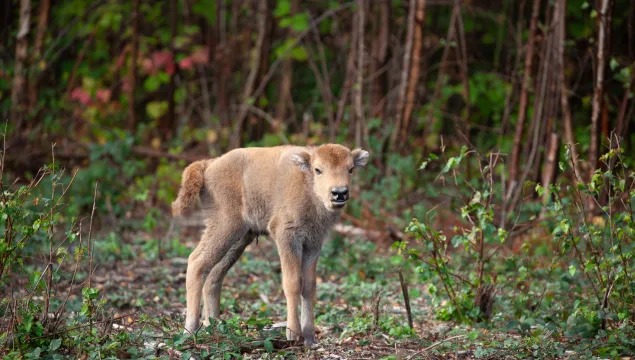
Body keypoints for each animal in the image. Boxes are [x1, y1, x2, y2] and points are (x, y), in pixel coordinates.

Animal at [171, 143, 370, 346]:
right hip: (225, 226)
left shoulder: (314, 243)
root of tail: (209, 164)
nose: (339, 193)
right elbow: (293, 282)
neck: (307, 183)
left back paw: (216, 327)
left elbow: (309, 286)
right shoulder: (286, 235)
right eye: (318, 169)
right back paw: (190, 330)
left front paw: (309, 337)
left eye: (350, 169)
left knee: (214, 274)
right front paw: (293, 334)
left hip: (240, 238)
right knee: (196, 262)